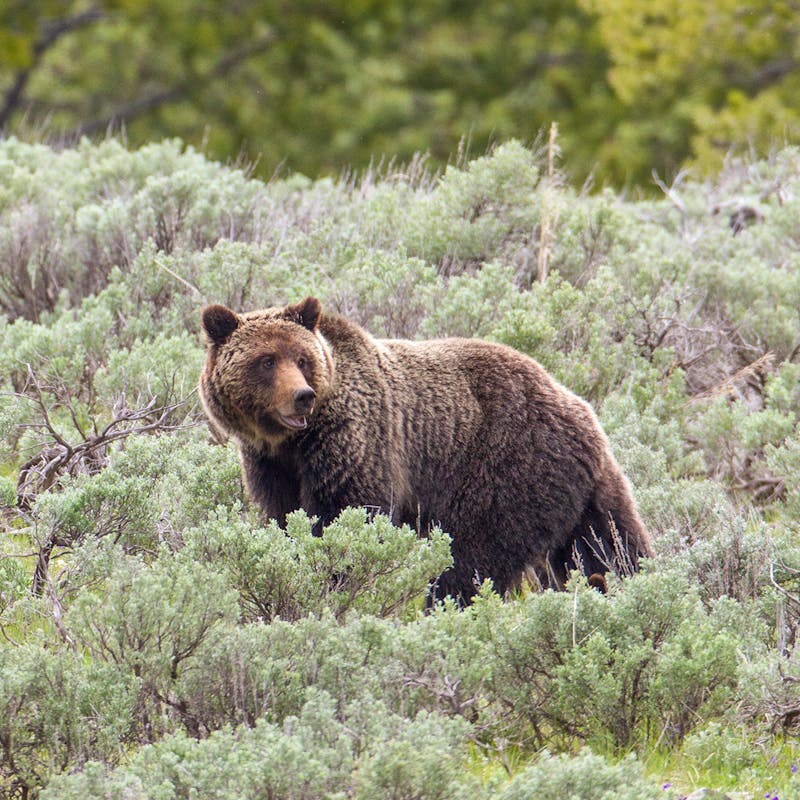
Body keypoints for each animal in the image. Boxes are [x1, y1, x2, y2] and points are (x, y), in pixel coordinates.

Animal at [198, 296, 648, 604]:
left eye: (303, 358)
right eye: (266, 360)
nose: (302, 397)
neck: (292, 443)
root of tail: (582, 411)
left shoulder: (356, 442)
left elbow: (348, 515)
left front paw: (339, 579)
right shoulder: (270, 465)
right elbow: (284, 517)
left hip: (506, 467)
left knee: (472, 557)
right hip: (582, 489)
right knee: (609, 543)